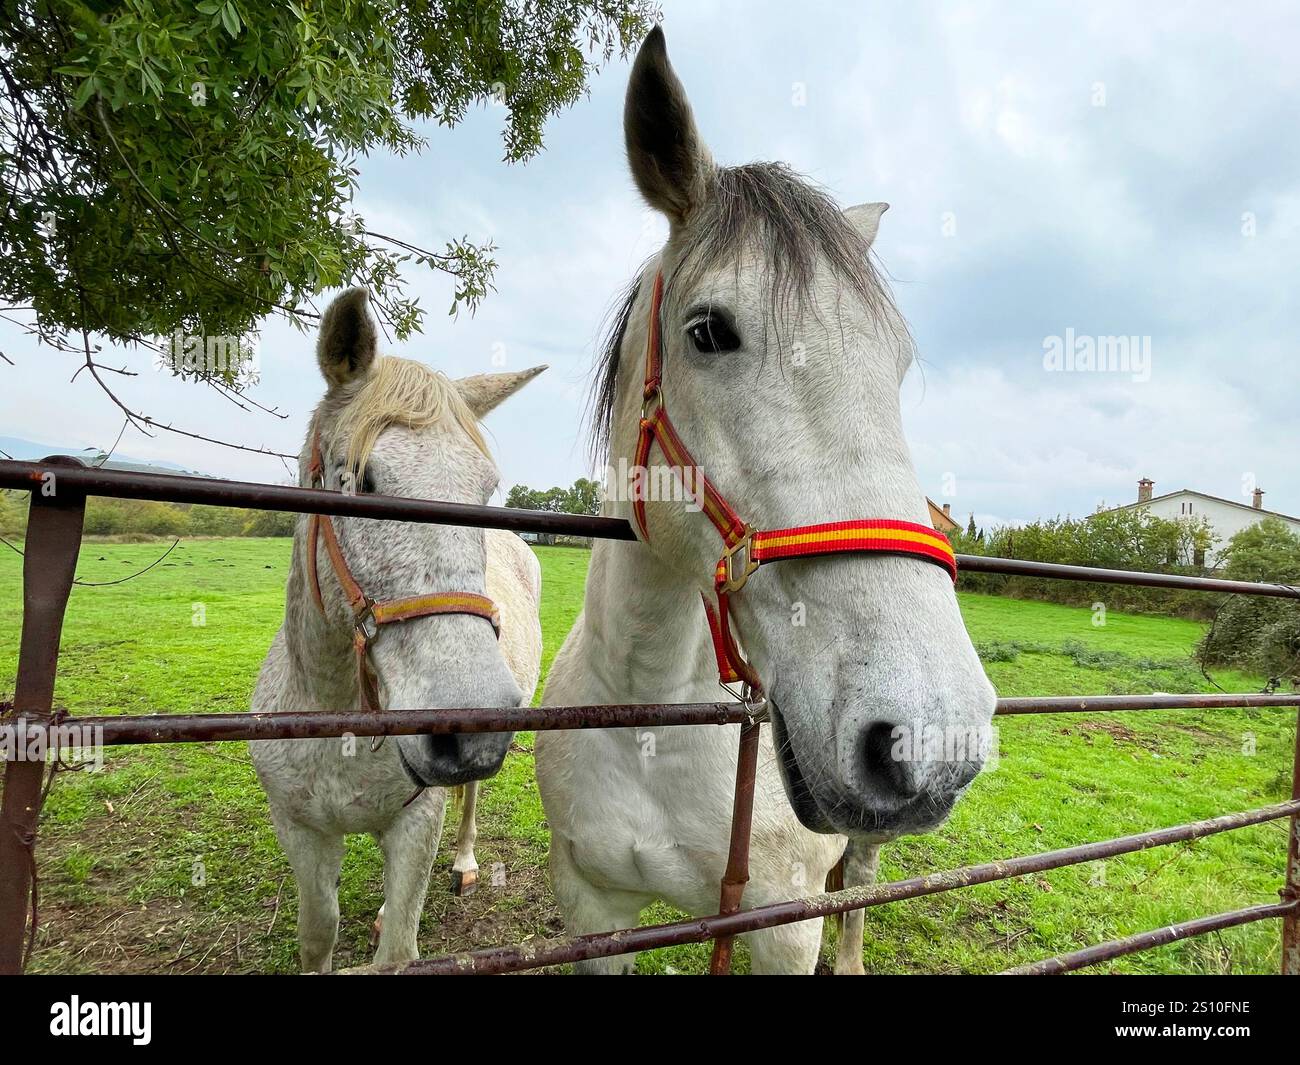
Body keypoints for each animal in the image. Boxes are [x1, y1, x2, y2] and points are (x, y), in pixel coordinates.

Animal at [250, 288, 545, 972]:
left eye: (486, 492)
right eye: (361, 480)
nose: (469, 726)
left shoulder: (417, 823)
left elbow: (398, 954)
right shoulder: (301, 832)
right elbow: (318, 933)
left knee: (469, 803)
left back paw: (463, 862)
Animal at [535, 28, 997, 975]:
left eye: (896, 364)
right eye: (709, 330)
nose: (931, 733)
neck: (650, 712)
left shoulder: (781, 925)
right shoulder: (592, 909)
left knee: (859, 890)